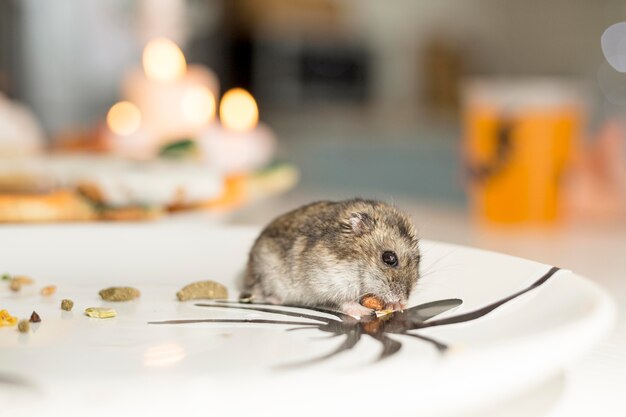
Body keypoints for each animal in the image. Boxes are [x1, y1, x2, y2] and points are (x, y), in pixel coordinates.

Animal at [243, 200, 420, 316]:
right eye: (389, 258)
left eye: (418, 261)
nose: (403, 300)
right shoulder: (331, 280)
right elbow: (344, 300)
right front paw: (364, 312)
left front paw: (397, 306)